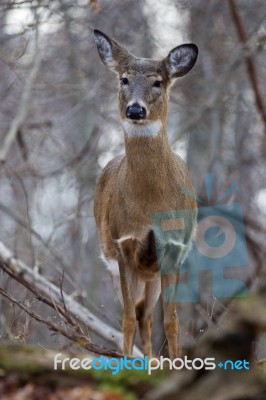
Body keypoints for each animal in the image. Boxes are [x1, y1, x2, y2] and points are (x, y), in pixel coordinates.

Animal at [93, 28, 197, 360]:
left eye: (158, 81)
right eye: (124, 79)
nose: (136, 109)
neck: (151, 205)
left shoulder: (174, 246)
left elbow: (172, 321)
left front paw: (176, 364)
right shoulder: (124, 243)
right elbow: (126, 318)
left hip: (152, 273)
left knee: (147, 314)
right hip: (116, 261)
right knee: (138, 313)